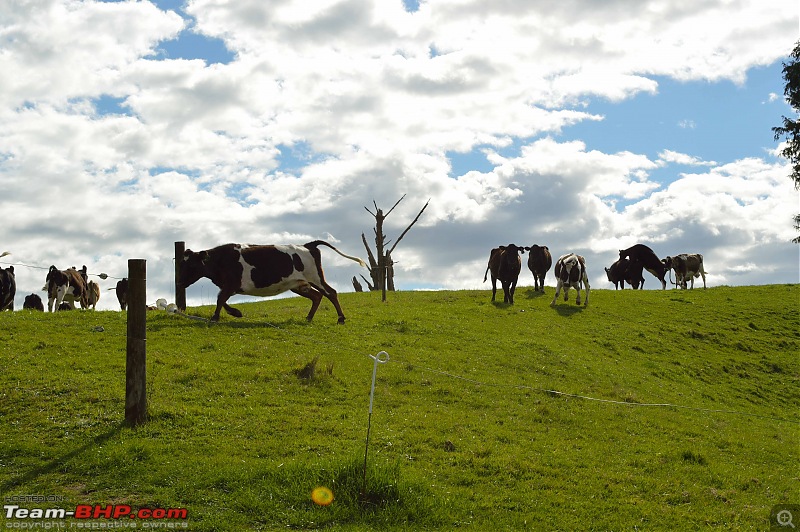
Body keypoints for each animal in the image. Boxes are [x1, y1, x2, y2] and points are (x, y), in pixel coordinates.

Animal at [178, 241, 366, 324]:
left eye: (191, 265)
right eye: (181, 264)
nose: (179, 282)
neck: (220, 260)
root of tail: (307, 245)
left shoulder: (231, 284)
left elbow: (220, 300)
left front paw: (217, 317)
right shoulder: (229, 286)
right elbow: (221, 300)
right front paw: (235, 312)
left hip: (315, 277)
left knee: (330, 292)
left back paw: (341, 318)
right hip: (298, 284)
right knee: (317, 296)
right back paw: (308, 317)